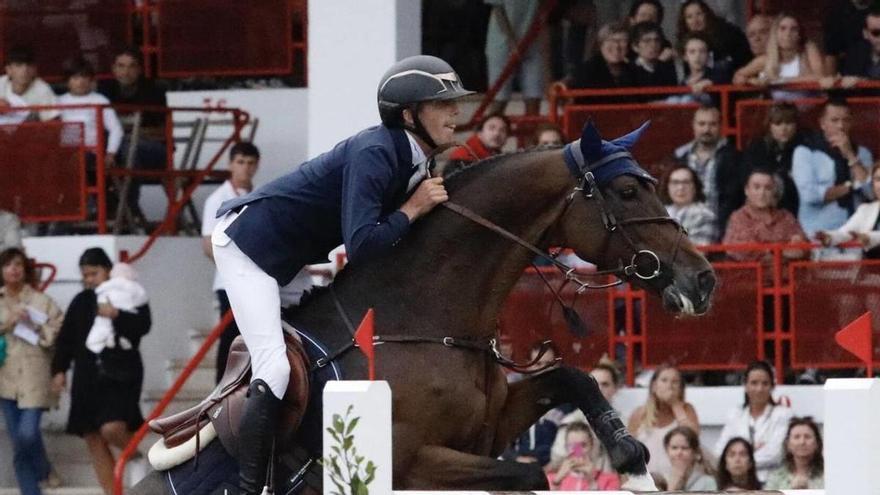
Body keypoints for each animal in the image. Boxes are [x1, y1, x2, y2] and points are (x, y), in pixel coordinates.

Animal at [136, 121, 716, 495]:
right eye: (627, 191)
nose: (704, 280)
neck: (420, 321)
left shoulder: (488, 429)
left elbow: (573, 378)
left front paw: (634, 463)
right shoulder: (410, 463)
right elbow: (529, 474)